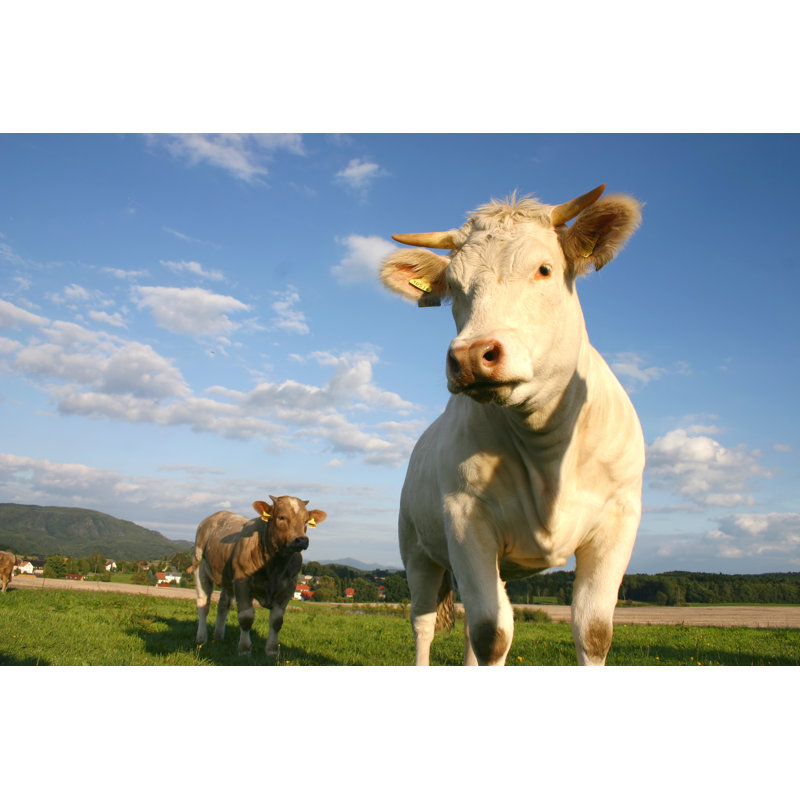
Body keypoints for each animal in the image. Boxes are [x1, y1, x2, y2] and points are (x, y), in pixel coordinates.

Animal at [193, 495, 327, 657]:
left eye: (306, 521)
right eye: (281, 517)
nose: (301, 540)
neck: (276, 566)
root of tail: (217, 514)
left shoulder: (289, 586)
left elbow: (277, 621)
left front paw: (272, 650)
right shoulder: (242, 581)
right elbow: (246, 617)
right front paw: (244, 650)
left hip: (228, 578)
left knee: (223, 605)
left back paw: (218, 636)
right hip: (199, 564)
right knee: (203, 604)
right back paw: (201, 637)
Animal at [380, 184, 644, 666]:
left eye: (544, 269)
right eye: (454, 287)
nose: (471, 356)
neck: (547, 449)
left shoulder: (619, 519)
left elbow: (594, 631)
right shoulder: (465, 520)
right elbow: (492, 635)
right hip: (418, 551)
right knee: (424, 623)